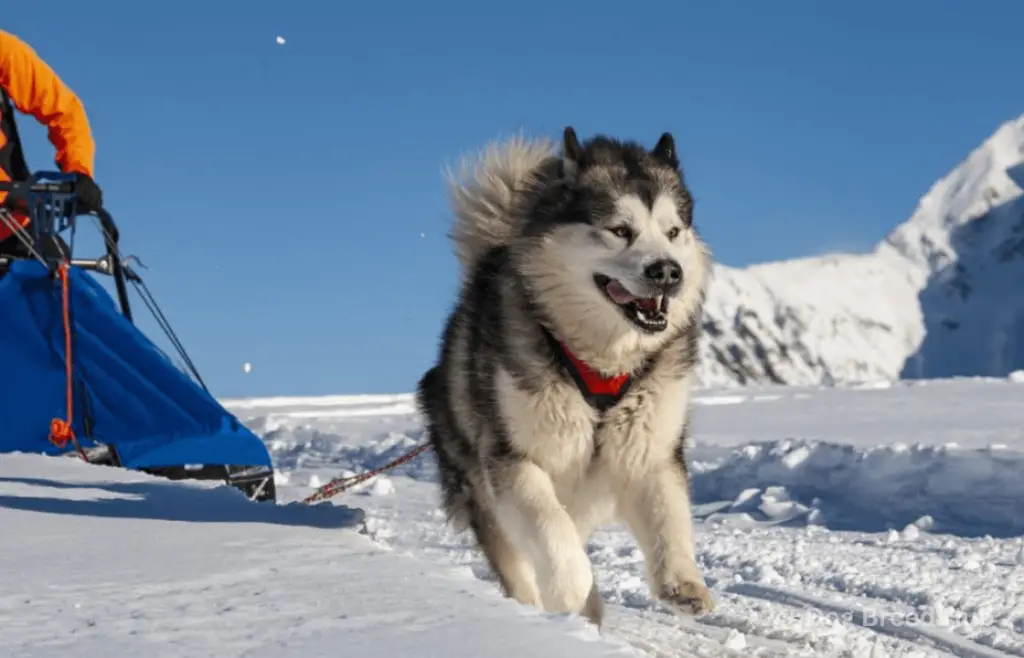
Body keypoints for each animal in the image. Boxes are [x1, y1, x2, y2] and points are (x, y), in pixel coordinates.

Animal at [413, 126, 712, 626]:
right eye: (619, 230)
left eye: (674, 232)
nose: (669, 271)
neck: (601, 362)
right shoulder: (514, 460)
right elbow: (551, 530)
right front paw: (573, 586)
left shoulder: (649, 449)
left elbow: (669, 517)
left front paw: (682, 582)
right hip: (482, 493)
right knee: (523, 564)